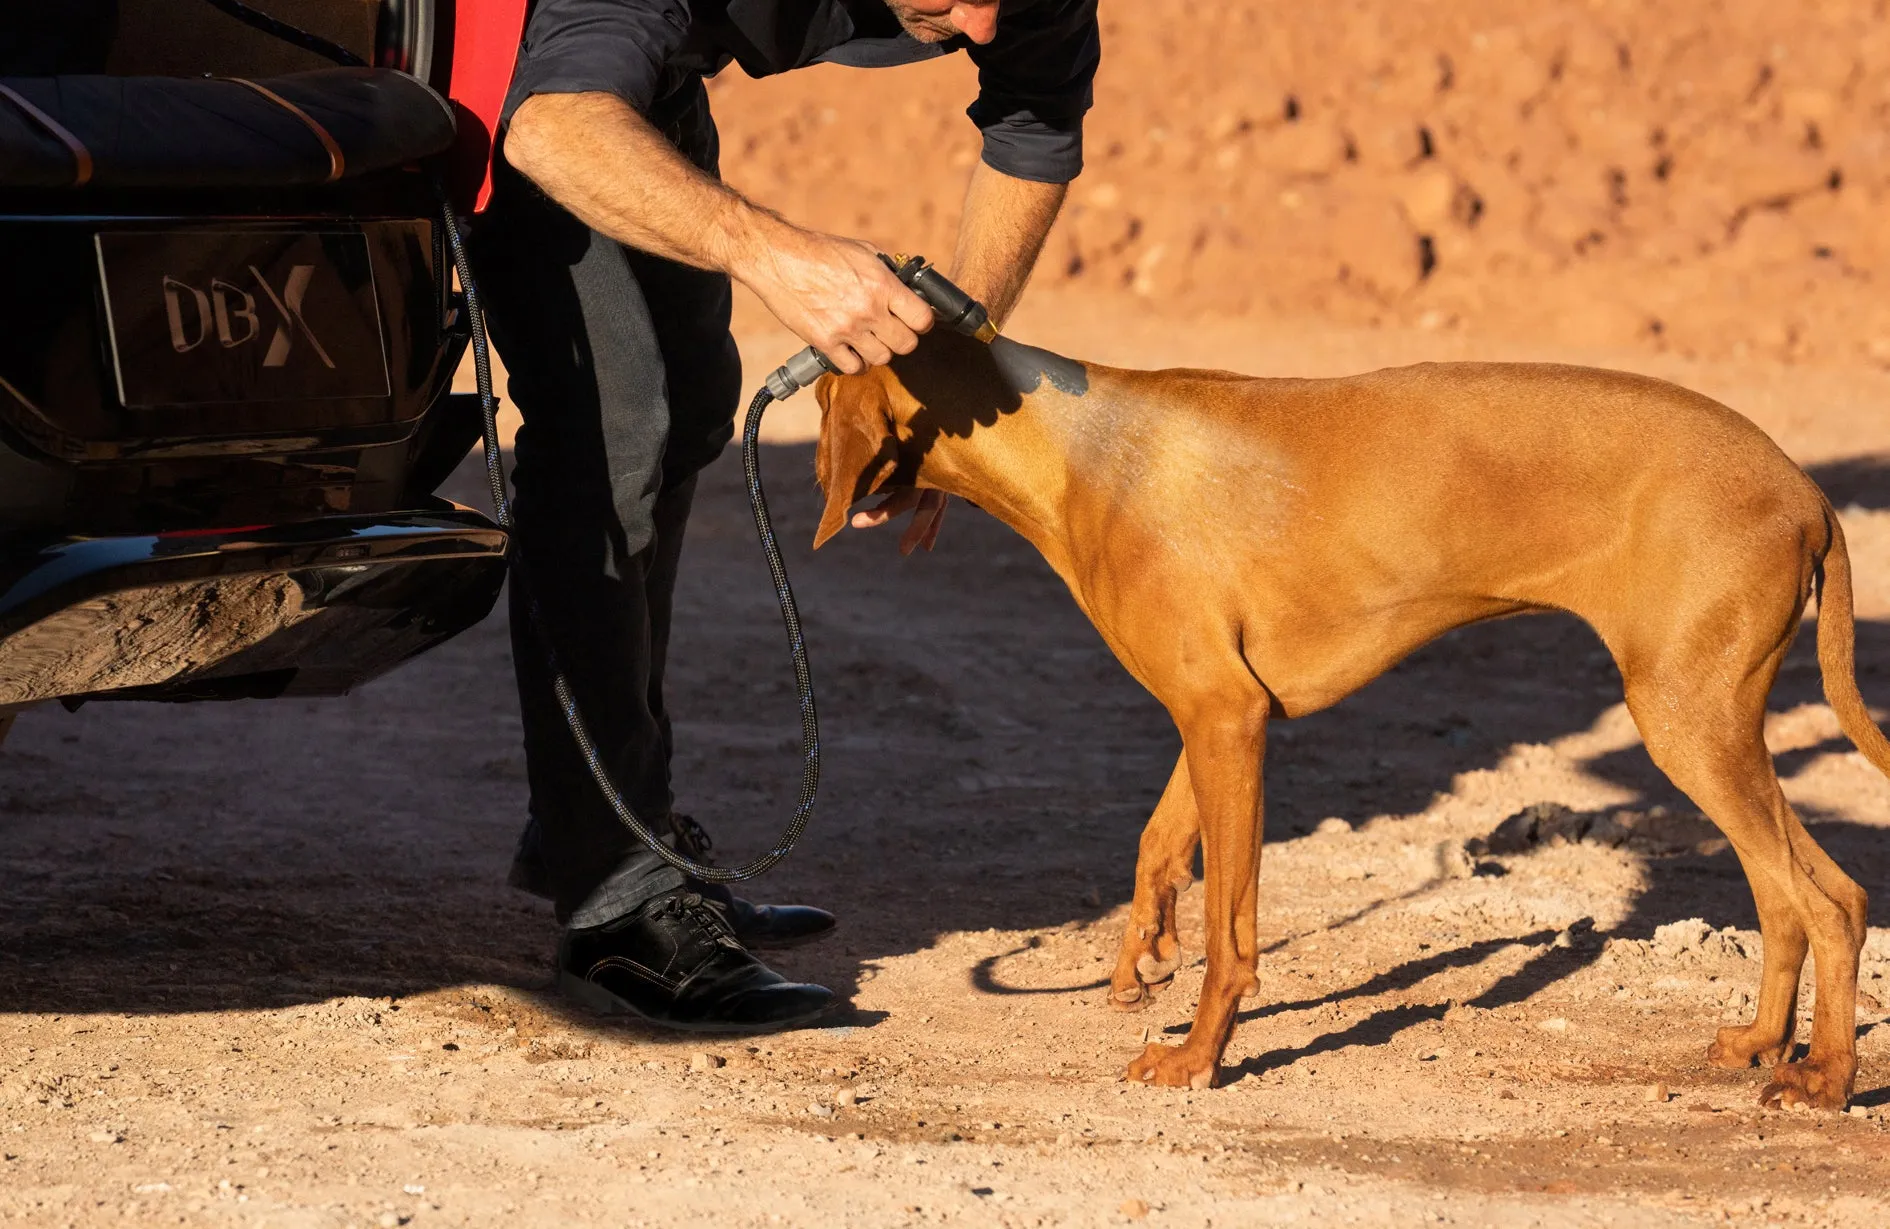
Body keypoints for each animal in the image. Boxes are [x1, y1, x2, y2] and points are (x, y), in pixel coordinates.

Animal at [816, 332, 1890, 1104]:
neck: (1085, 454)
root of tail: (1806, 488)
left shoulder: (1227, 718)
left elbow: (1233, 931)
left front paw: (1198, 1058)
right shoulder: (1219, 714)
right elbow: (1160, 840)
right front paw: (1142, 953)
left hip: (1686, 721)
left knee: (1832, 900)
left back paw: (1827, 1080)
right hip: (1708, 724)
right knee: (1786, 896)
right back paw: (1762, 1041)